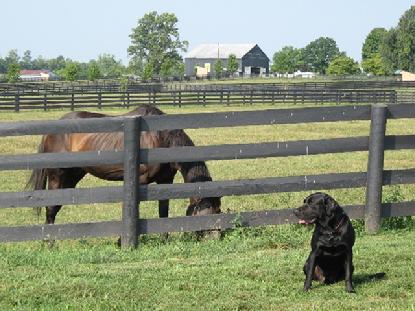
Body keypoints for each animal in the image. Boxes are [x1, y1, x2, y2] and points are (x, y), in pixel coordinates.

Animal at [26, 105, 221, 224]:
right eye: (210, 212)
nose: (215, 238)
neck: (161, 137)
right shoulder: (140, 180)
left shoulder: (165, 181)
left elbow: (163, 210)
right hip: (57, 175)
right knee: (51, 208)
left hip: (73, 175)